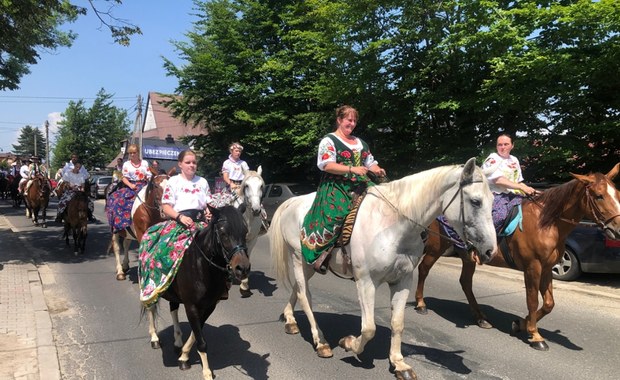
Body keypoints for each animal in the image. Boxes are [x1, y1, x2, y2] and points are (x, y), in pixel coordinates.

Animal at [145, 205, 249, 380]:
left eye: (246, 231)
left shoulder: (209, 305)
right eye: (223, 233)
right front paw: (206, 372)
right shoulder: (191, 305)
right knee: (151, 308)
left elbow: (197, 331)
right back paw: (154, 338)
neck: (202, 265)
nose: (243, 268)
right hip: (152, 288)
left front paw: (184, 356)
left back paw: (177, 342)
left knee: (173, 309)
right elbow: (201, 340)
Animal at [268, 158, 496, 380]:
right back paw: (321, 341)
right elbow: (369, 328)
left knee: (298, 289)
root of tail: (292, 202)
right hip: (300, 259)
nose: (490, 250)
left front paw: (399, 363)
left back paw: (290, 320)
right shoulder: (366, 282)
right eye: (476, 201)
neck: (394, 226)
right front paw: (349, 343)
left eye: (493, 200)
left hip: (311, 264)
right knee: (305, 296)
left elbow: (398, 323)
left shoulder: (402, 281)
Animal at [414, 163, 620, 350]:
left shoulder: (547, 269)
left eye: (617, 194)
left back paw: (480, 318)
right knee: (424, 269)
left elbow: (549, 304)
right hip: (437, 246)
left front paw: (521, 324)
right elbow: (532, 300)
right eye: (599, 196)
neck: (546, 223)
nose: (617, 230)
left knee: (465, 282)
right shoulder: (532, 267)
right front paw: (535, 336)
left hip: (467, 255)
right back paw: (421, 304)